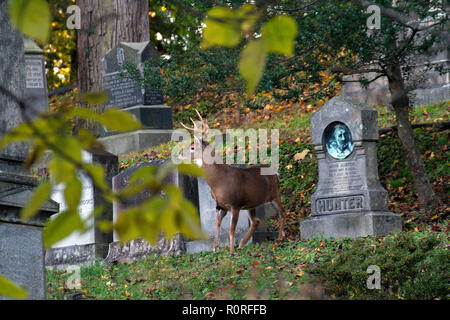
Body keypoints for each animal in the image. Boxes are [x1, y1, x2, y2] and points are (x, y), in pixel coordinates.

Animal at [178, 110, 286, 255]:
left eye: (193, 147)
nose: (179, 154)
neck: (218, 181)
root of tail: (276, 173)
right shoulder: (220, 205)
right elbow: (216, 225)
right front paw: (215, 248)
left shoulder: (235, 204)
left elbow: (231, 229)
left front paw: (231, 251)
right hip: (251, 203)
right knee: (256, 221)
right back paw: (242, 244)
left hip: (275, 194)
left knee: (282, 212)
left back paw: (280, 238)